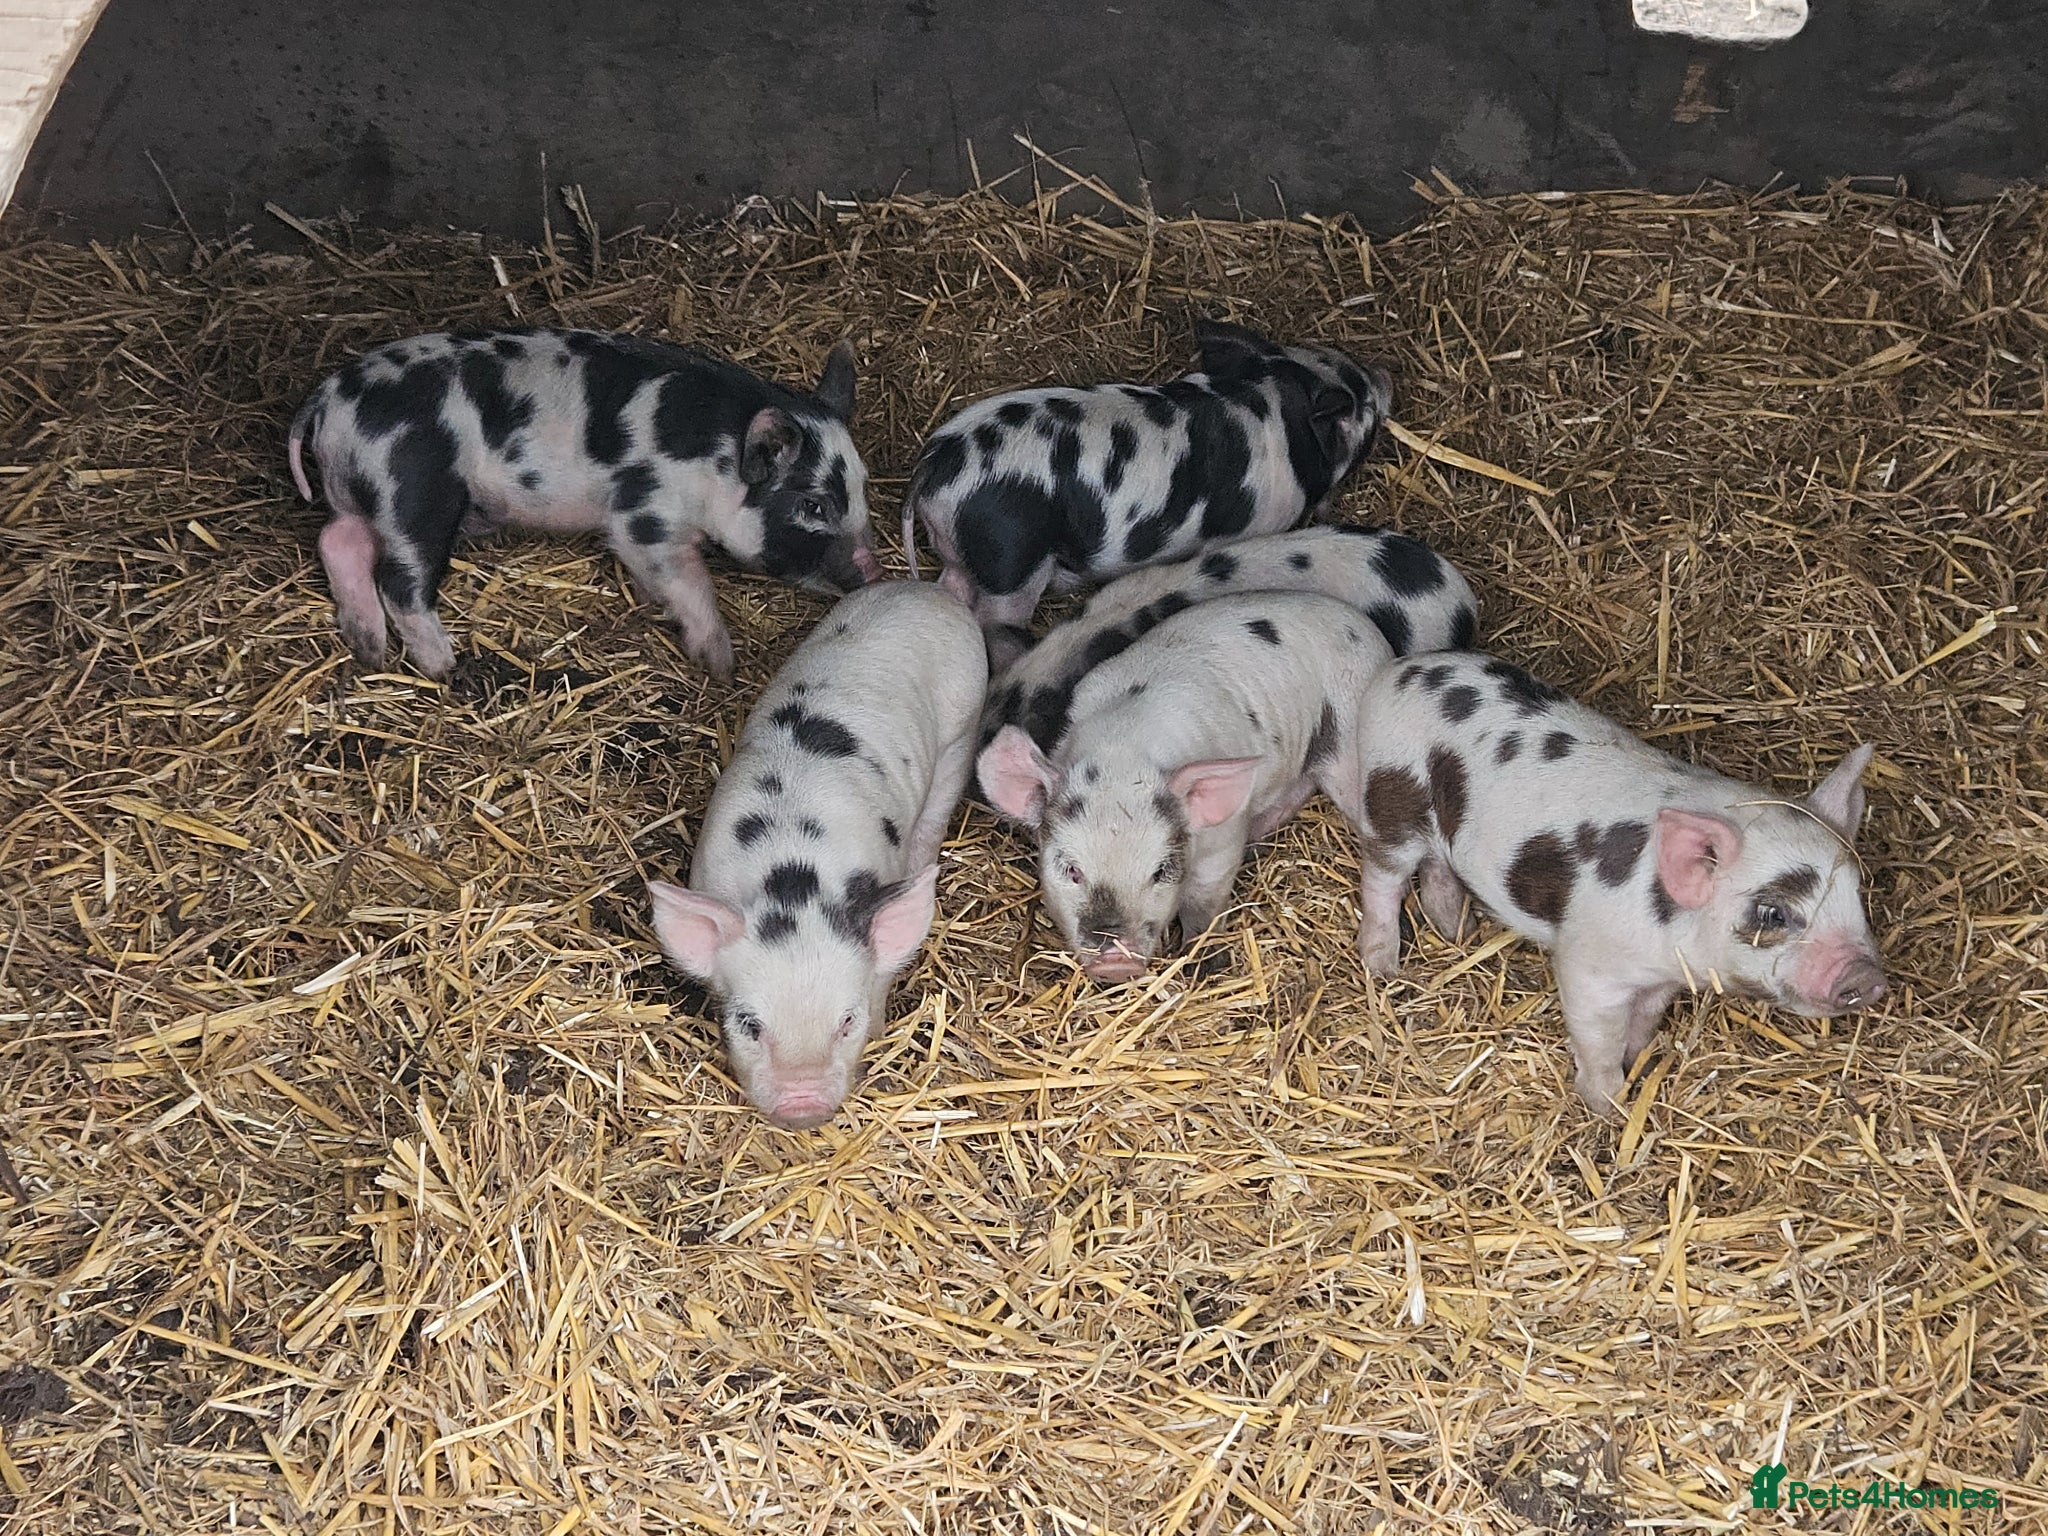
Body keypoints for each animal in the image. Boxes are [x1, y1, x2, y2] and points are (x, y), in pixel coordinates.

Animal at [288, 328, 878, 682]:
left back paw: (368, 650)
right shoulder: (644, 514)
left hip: (367, 497)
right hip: (416, 493)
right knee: (399, 582)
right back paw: (445, 667)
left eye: (863, 487)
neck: (714, 459)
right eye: (815, 505)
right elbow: (689, 580)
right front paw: (721, 666)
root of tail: (329, 397)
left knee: (337, 539)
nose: (871, 568)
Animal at [646, 582, 985, 1129]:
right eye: (750, 1024)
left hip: (962, 733)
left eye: (846, 1021)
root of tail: (925, 589)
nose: (802, 1105)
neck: (792, 874)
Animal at [902, 318, 1393, 635]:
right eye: (1364, 402)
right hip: (1012, 563)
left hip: (962, 552)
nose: (1385, 375)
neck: (1275, 399)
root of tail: (935, 464)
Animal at [978, 592, 1395, 982]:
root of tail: (1361, 623)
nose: (1115, 962)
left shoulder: (1223, 840)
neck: (1123, 749)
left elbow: (1204, 900)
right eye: (1072, 870)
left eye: (1160, 871)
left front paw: (1205, 962)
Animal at [1350, 651, 1885, 1112]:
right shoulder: (1590, 966)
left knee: (1438, 867)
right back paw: (1383, 967)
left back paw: (1458, 931)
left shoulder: (1661, 979)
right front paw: (1609, 1107)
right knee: (1383, 878)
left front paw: (1638, 1065)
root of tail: (1399, 670)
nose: (1867, 977)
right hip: (1392, 800)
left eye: (1856, 894)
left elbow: (1643, 1022)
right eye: (1773, 912)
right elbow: (1599, 1035)